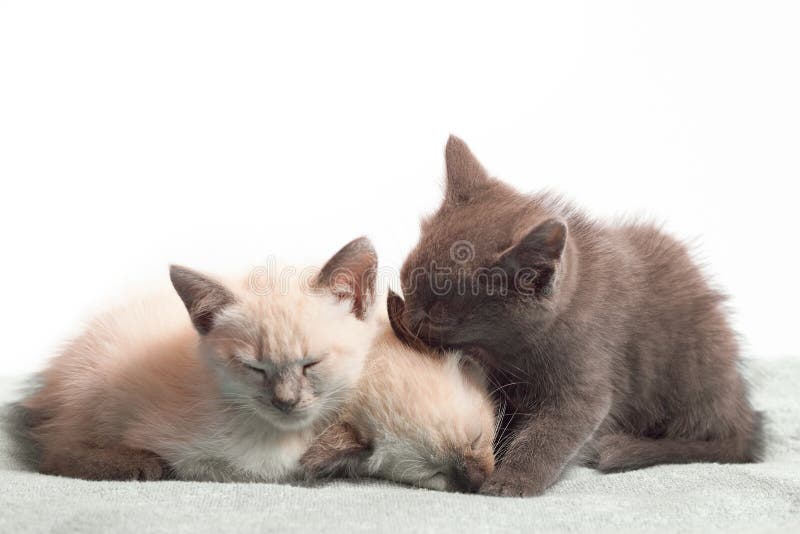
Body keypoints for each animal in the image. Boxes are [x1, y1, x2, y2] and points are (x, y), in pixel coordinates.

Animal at [21, 239, 378, 482]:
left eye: (311, 363)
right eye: (254, 367)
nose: (285, 402)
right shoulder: (202, 460)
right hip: (99, 398)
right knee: (55, 452)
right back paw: (139, 465)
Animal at [394, 135, 764, 498]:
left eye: (434, 318)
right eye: (405, 282)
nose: (407, 319)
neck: (511, 354)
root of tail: (743, 415)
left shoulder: (586, 379)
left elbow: (551, 435)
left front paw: (511, 480)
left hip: (693, 367)